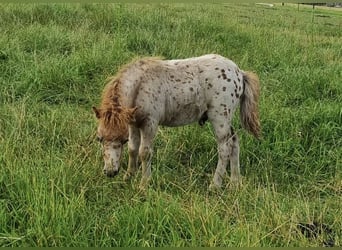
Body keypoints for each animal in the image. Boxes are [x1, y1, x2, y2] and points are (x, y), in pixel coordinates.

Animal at [92, 54, 260, 189]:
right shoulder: (133, 123)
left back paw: (215, 185)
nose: (110, 172)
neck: (140, 86)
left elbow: (144, 152)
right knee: (234, 142)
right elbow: (133, 149)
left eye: (122, 140)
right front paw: (128, 176)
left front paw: (144, 184)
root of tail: (240, 73)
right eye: (99, 139)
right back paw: (235, 182)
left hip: (220, 117)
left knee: (225, 149)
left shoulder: (150, 123)